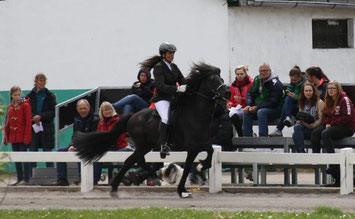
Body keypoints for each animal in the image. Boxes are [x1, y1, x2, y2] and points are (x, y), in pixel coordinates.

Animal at [74, 62, 231, 198]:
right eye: (212, 80)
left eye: (221, 78)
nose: (228, 93)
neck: (195, 114)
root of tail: (132, 116)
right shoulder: (193, 146)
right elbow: (198, 159)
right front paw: (195, 173)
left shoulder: (196, 147)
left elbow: (204, 155)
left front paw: (194, 174)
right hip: (143, 145)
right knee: (136, 162)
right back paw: (143, 179)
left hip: (146, 145)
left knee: (132, 162)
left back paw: (117, 187)